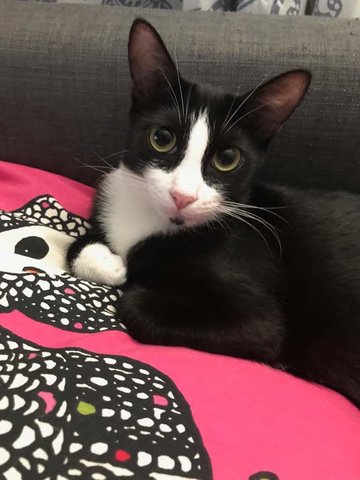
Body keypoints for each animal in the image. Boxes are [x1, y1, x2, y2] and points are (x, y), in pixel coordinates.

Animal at [67, 18, 360, 408]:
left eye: (227, 158)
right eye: (162, 138)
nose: (183, 196)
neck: (153, 221)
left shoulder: (259, 315)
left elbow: (135, 304)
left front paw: (130, 277)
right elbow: (75, 245)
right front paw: (108, 262)